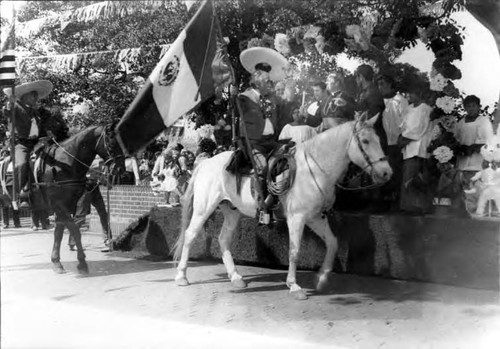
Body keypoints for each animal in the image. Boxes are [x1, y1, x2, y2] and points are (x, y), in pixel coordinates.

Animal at [36, 123, 124, 274]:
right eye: (112, 142)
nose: (121, 169)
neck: (64, 164)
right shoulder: (59, 205)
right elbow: (75, 230)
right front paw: (82, 262)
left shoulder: (66, 205)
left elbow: (59, 232)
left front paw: (57, 261)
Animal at [174, 113, 392, 298]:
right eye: (365, 141)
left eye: (379, 140)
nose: (386, 172)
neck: (315, 169)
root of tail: (205, 162)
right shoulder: (297, 218)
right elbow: (294, 251)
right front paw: (294, 286)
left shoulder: (316, 217)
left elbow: (333, 243)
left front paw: (321, 279)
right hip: (203, 209)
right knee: (190, 235)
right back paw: (181, 276)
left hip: (231, 211)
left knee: (223, 239)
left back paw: (236, 278)